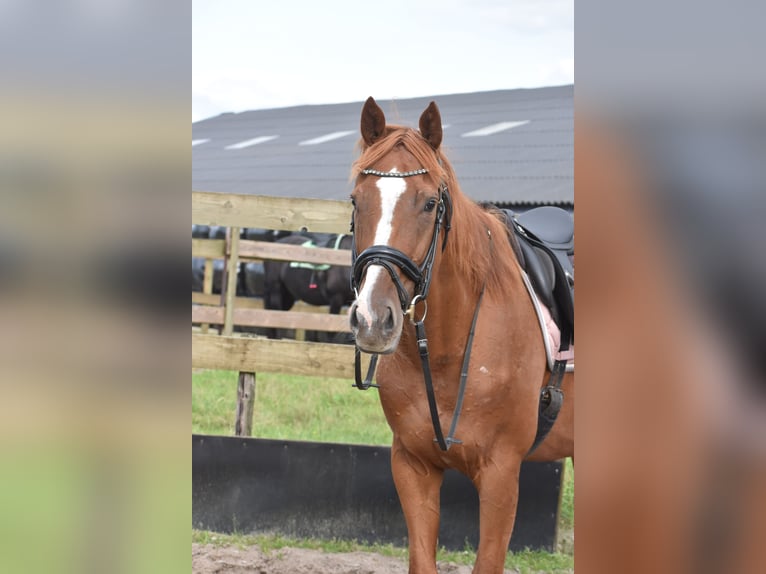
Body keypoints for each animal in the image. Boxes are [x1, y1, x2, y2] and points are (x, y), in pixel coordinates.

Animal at [352, 97, 572, 572]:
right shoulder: (412, 465)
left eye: (429, 203)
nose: (373, 319)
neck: (448, 352)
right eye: (357, 201)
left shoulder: (502, 474)